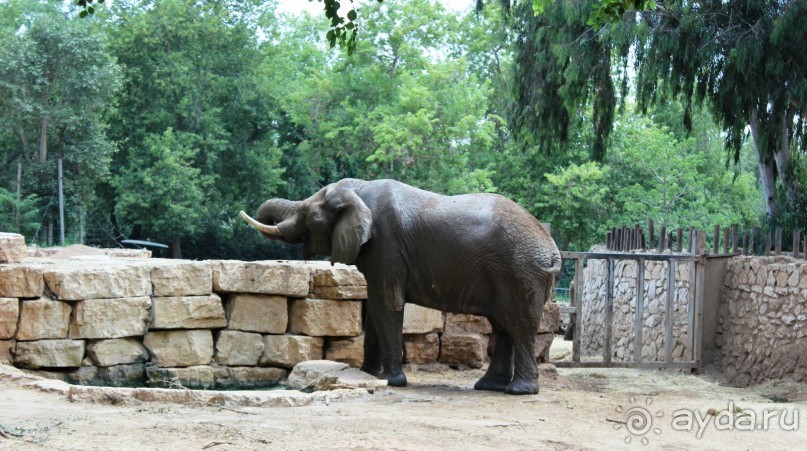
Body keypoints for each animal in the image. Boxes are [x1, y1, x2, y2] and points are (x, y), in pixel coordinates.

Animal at [237, 179, 560, 396]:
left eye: (309, 215)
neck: (358, 189)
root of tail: (550, 246)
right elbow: (374, 307)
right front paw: (367, 374)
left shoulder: (386, 246)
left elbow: (387, 303)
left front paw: (393, 381)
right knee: (503, 325)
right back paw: (488, 387)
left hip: (520, 272)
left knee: (519, 326)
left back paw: (519, 391)